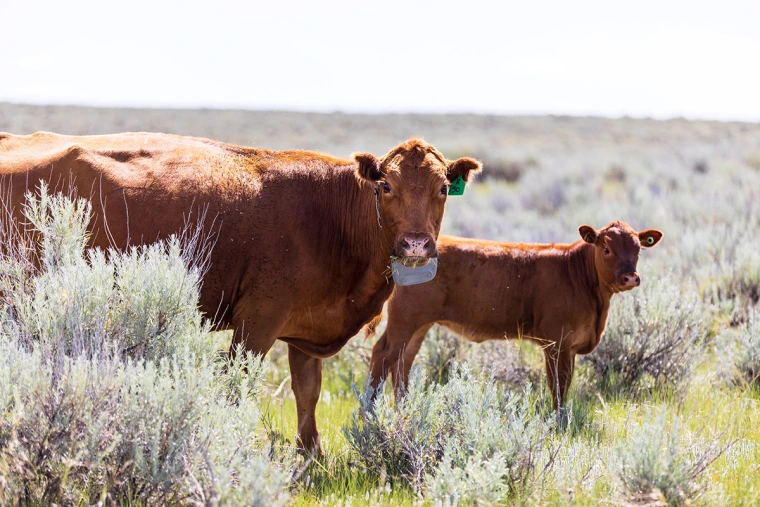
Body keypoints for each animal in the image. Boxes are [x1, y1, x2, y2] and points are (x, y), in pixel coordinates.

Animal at [0, 132, 482, 453]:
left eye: (443, 188)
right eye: (386, 186)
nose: (416, 245)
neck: (330, 214)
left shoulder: (302, 332)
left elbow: (307, 395)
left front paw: (311, 459)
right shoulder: (257, 322)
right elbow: (237, 388)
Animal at [368, 221, 663, 408]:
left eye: (638, 249)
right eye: (606, 249)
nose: (630, 277)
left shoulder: (568, 346)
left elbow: (565, 384)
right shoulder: (556, 343)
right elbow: (558, 386)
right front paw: (558, 421)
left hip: (419, 325)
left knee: (403, 362)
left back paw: (404, 410)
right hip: (405, 320)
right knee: (383, 355)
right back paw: (370, 412)